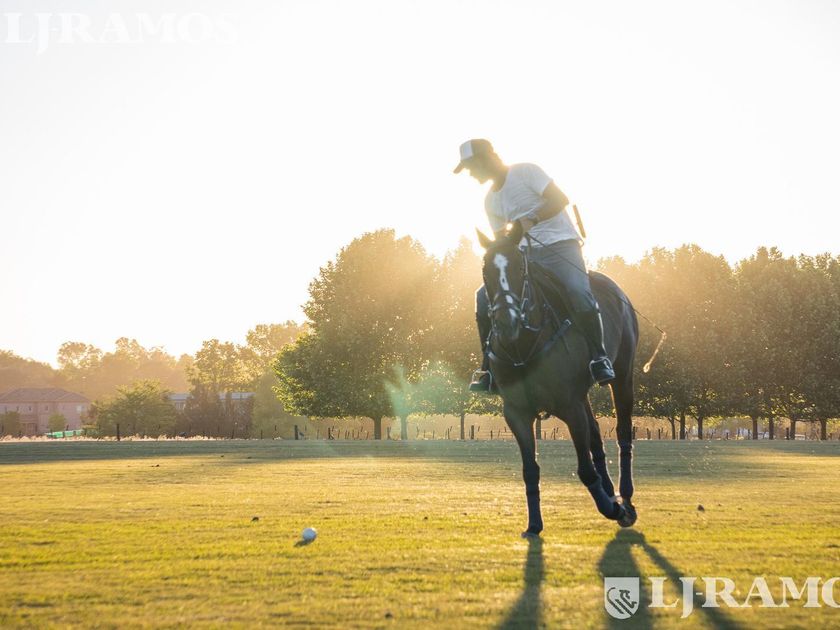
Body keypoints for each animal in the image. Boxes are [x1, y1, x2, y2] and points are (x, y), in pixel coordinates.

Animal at [476, 221, 639, 536]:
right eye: (485, 270)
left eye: (520, 268)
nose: (506, 323)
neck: (523, 346)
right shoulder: (516, 412)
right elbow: (530, 469)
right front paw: (534, 524)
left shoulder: (569, 405)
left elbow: (584, 468)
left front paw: (612, 508)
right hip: (583, 393)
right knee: (596, 433)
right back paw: (611, 492)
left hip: (623, 374)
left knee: (623, 431)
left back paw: (625, 500)